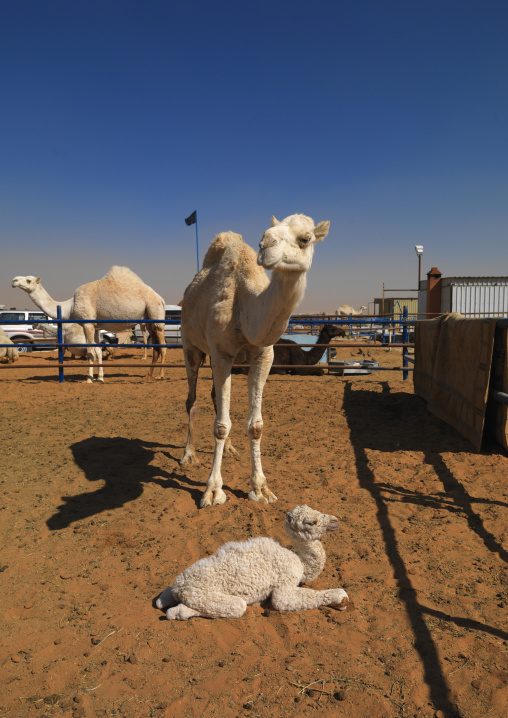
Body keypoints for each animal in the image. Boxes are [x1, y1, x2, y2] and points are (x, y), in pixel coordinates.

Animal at [12, 266, 166, 383]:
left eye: (29, 280)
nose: (14, 280)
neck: (70, 306)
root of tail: (161, 299)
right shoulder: (96, 326)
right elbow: (97, 350)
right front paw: (100, 377)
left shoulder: (87, 323)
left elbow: (90, 351)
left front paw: (89, 378)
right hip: (149, 320)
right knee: (156, 348)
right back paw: (148, 375)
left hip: (156, 314)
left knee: (163, 346)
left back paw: (161, 375)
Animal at [156, 505, 348, 620]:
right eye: (311, 522)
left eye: (319, 511)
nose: (335, 521)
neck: (300, 563)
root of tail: (179, 587)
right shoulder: (284, 583)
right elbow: (283, 600)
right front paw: (340, 598)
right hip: (200, 595)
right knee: (235, 606)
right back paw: (177, 612)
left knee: (162, 599)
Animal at [180, 213, 330, 508]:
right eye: (264, 234)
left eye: (305, 238)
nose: (265, 246)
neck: (244, 305)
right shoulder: (221, 352)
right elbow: (221, 426)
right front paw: (212, 491)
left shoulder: (263, 354)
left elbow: (256, 425)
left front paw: (260, 488)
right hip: (191, 346)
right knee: (192, 399)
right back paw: (189, 455)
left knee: (215, 398)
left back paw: (230, 449)